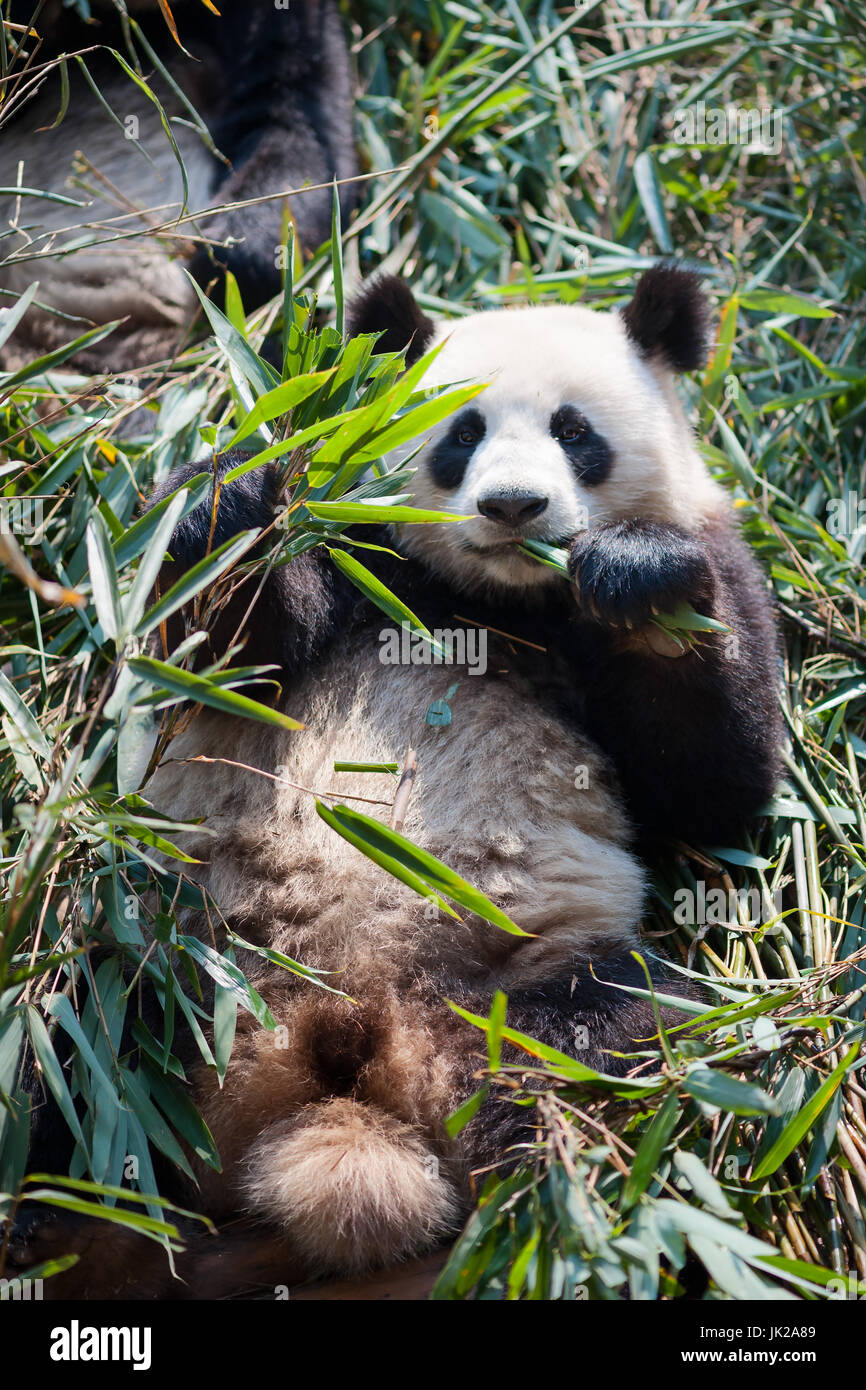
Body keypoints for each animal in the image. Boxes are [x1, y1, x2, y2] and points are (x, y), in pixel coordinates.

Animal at [17, 266, 781, 1299]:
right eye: (461, 434)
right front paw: (241, 487)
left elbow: (714, 785)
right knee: (73, 1047)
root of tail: (352, 1045)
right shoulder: (360, 565)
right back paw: (75, 1226)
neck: (495, 598)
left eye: (574, 432)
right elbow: (225, 647)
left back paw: (548, 1212)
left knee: (620, 1038)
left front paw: (637, 581)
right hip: (186, 958)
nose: (514, 507)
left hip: (517, 985)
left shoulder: (719, 565)